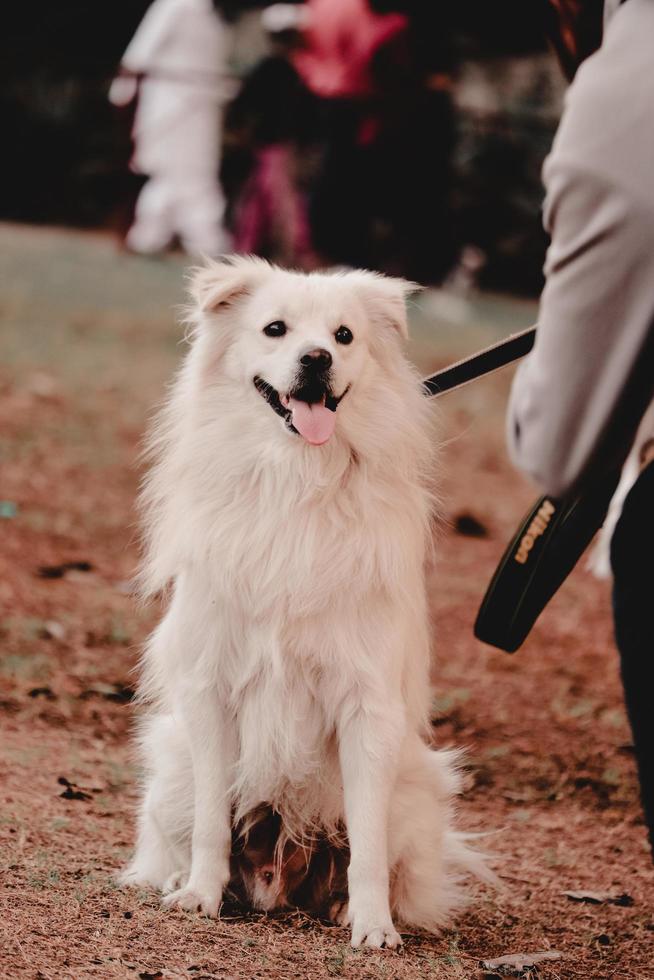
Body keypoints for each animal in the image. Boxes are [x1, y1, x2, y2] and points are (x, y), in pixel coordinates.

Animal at [124, 256, 492, 944]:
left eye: (344, 336)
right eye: (275, 329)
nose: (317, 358)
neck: (298, 476)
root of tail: (280, 880)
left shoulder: (368, 708)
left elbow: (369, 846)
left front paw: (373, 927)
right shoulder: (209, 691)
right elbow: (212, 823)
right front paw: (200, 894)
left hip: (414, 790)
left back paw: (347, 906)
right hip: (172, 768)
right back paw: (182, 879)